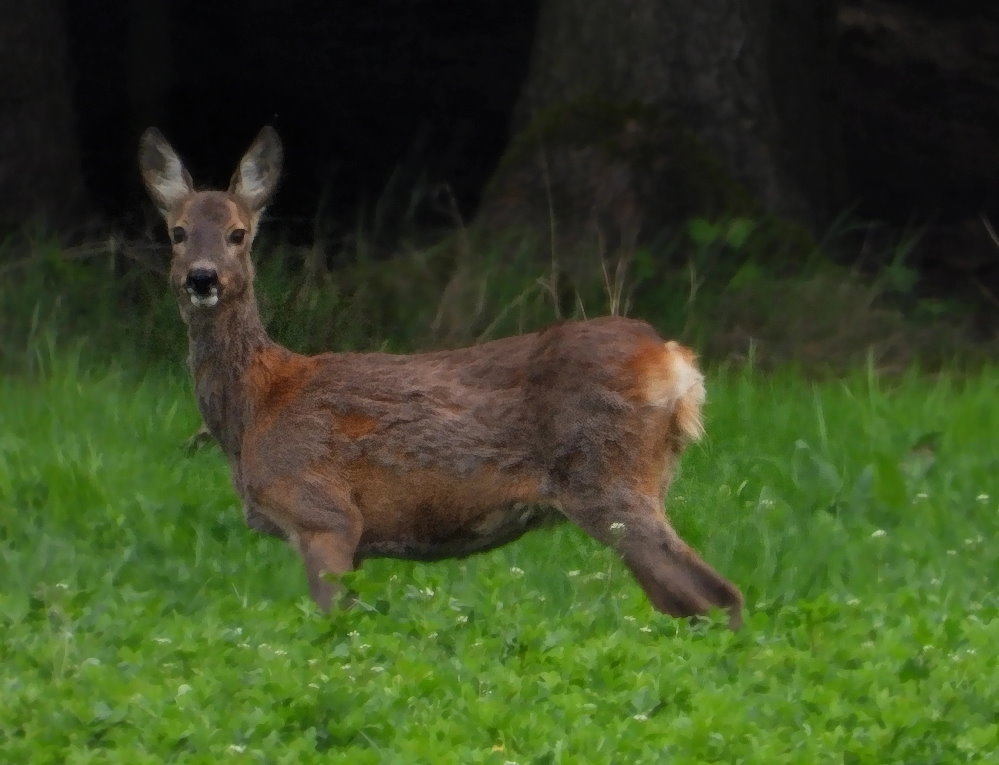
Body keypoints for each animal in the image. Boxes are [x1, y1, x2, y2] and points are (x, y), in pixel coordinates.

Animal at [141, 124, 748, 628]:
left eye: (238, 233)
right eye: (177, 232)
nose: (202, 278)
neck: (255, 407)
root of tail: (674, 361)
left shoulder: (323, 513)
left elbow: (335, 622)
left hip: (609, 479)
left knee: (718, 594)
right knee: (687, 602)